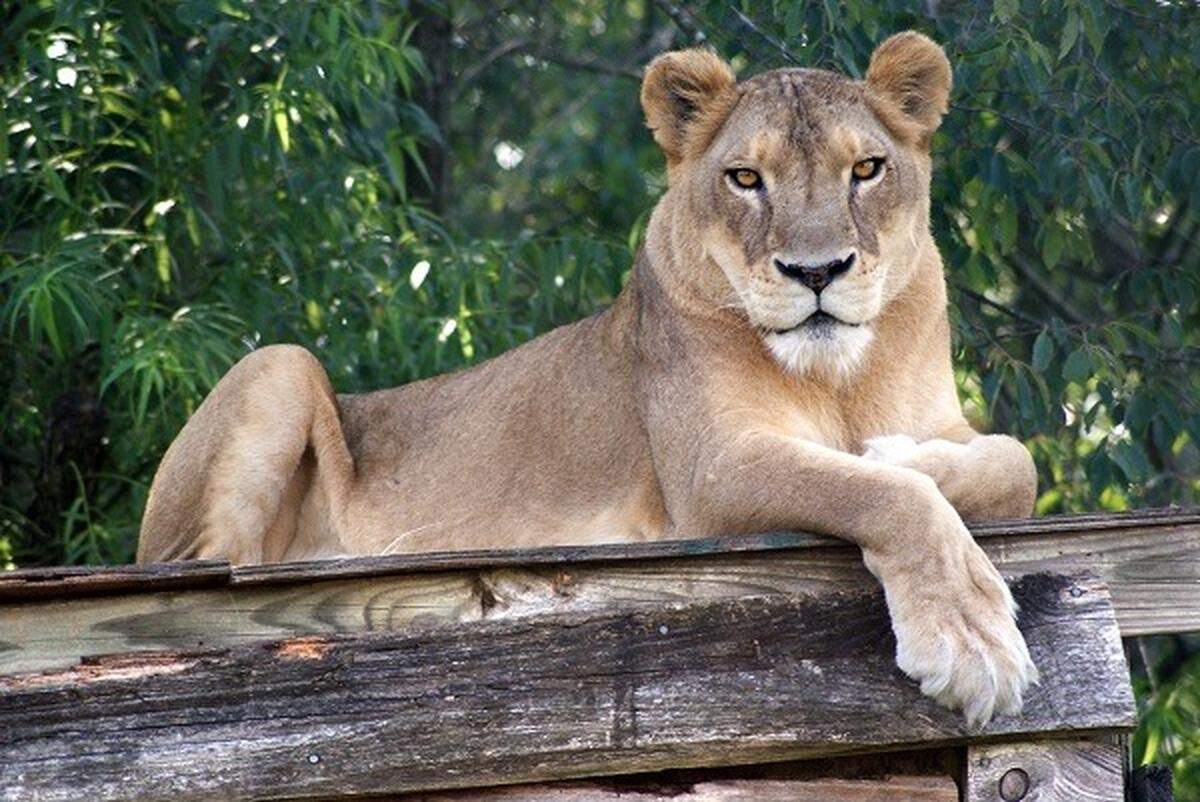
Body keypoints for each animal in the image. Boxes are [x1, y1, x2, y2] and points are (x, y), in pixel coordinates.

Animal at [139, 31, 1038, 725]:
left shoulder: (944, 420)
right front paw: (973, 644)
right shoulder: (711, 472)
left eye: (867, 170)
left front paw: (903, 455)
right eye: (746, 179)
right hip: (279, 367)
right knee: (197, 580)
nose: (816, 272)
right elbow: (881, 495)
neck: (840, 379)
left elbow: (1012, 463)